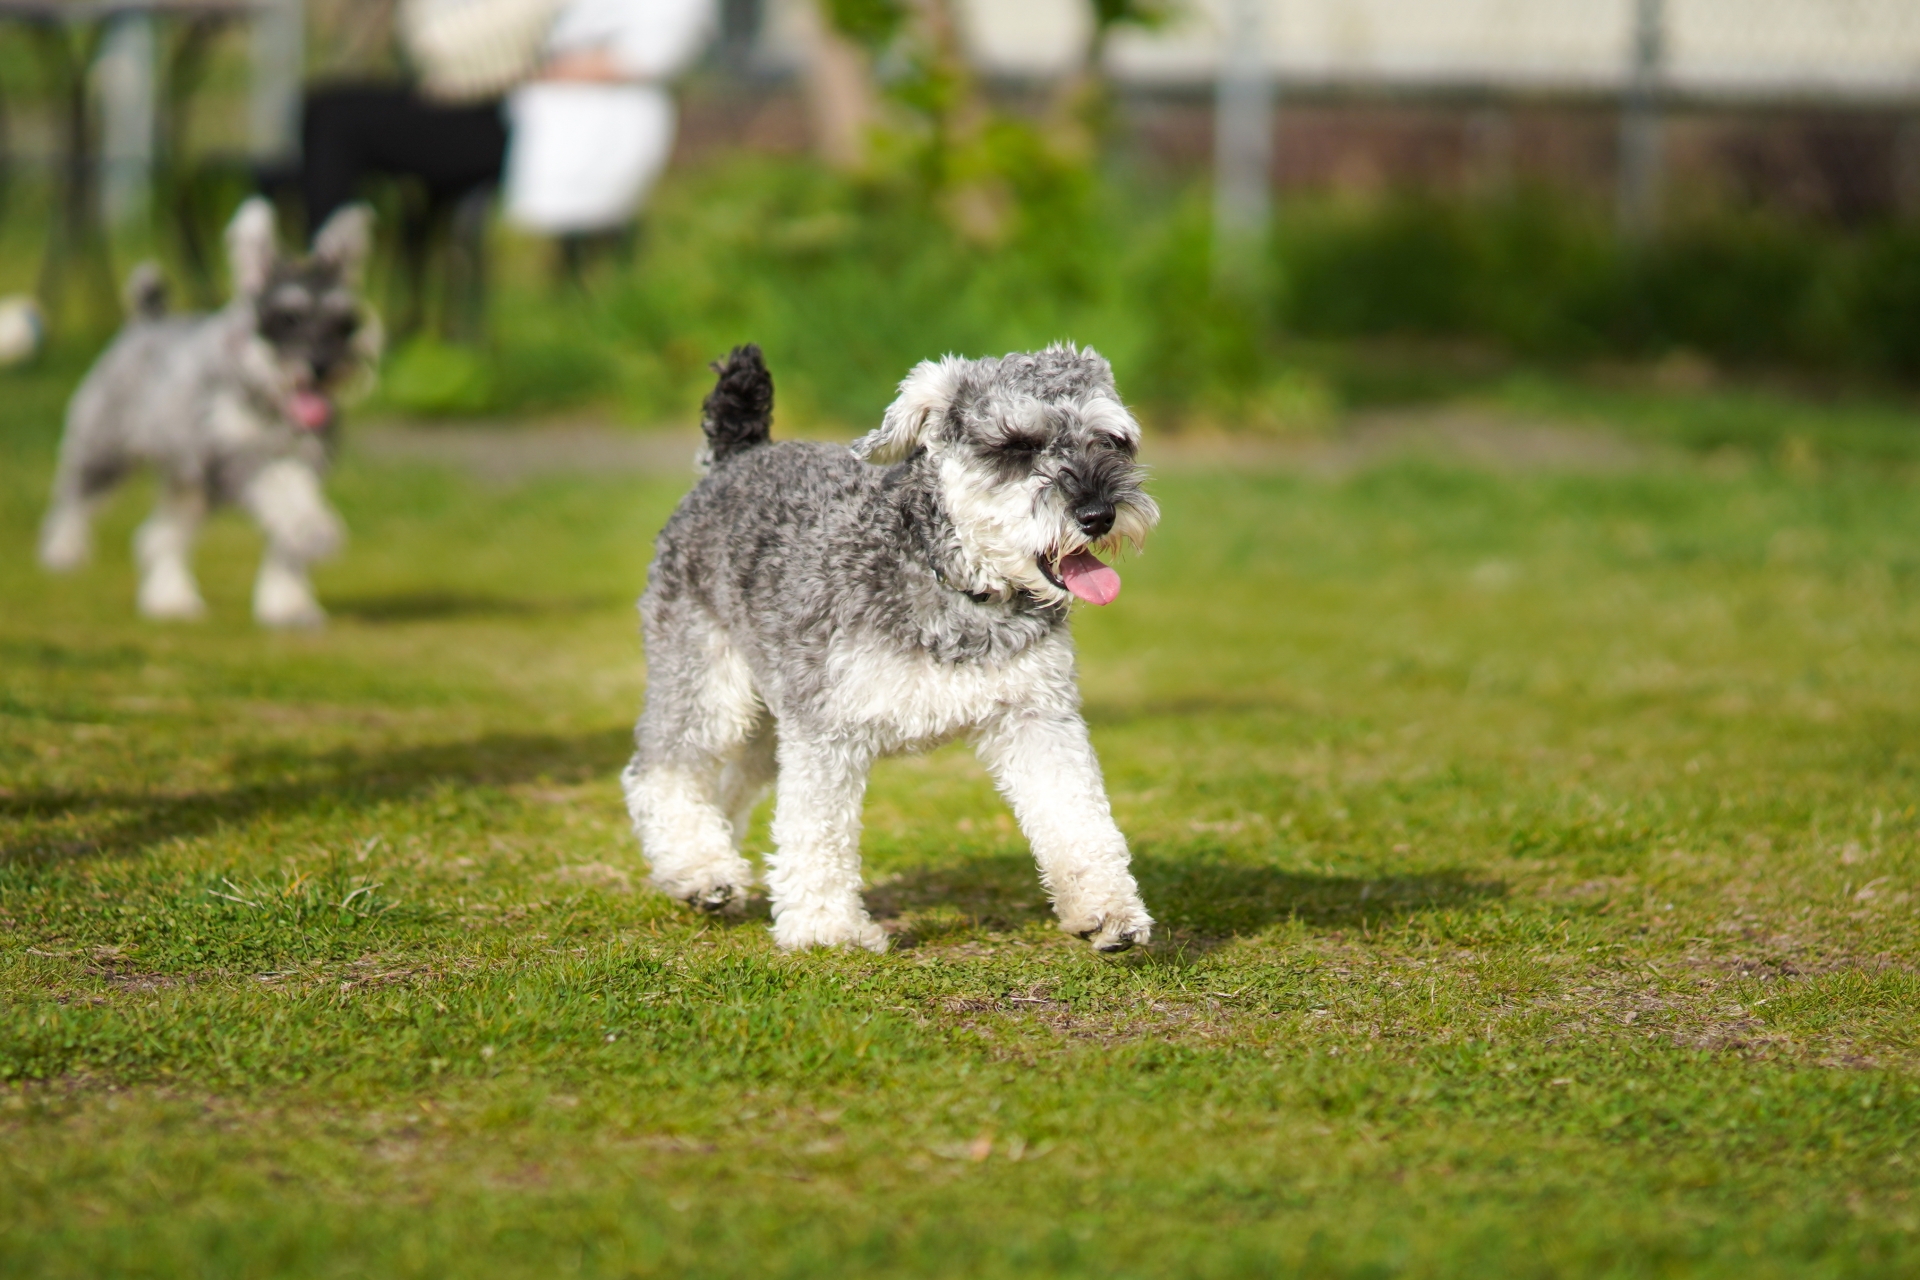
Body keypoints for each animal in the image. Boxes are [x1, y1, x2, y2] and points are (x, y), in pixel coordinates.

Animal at [38, 196, 378, 629]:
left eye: (344, 322)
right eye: (288, 317)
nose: (322, 365)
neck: (268, 397)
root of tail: (145, 320)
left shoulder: (307, 459)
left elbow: (286, 531)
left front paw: (288, 605)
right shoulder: (234, 454)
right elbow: (283, 492)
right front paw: (314, 530)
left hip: (192, 489)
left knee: (157, 537)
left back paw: (169, 598)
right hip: (105, 452)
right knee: (74, 499)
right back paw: (64, 550)